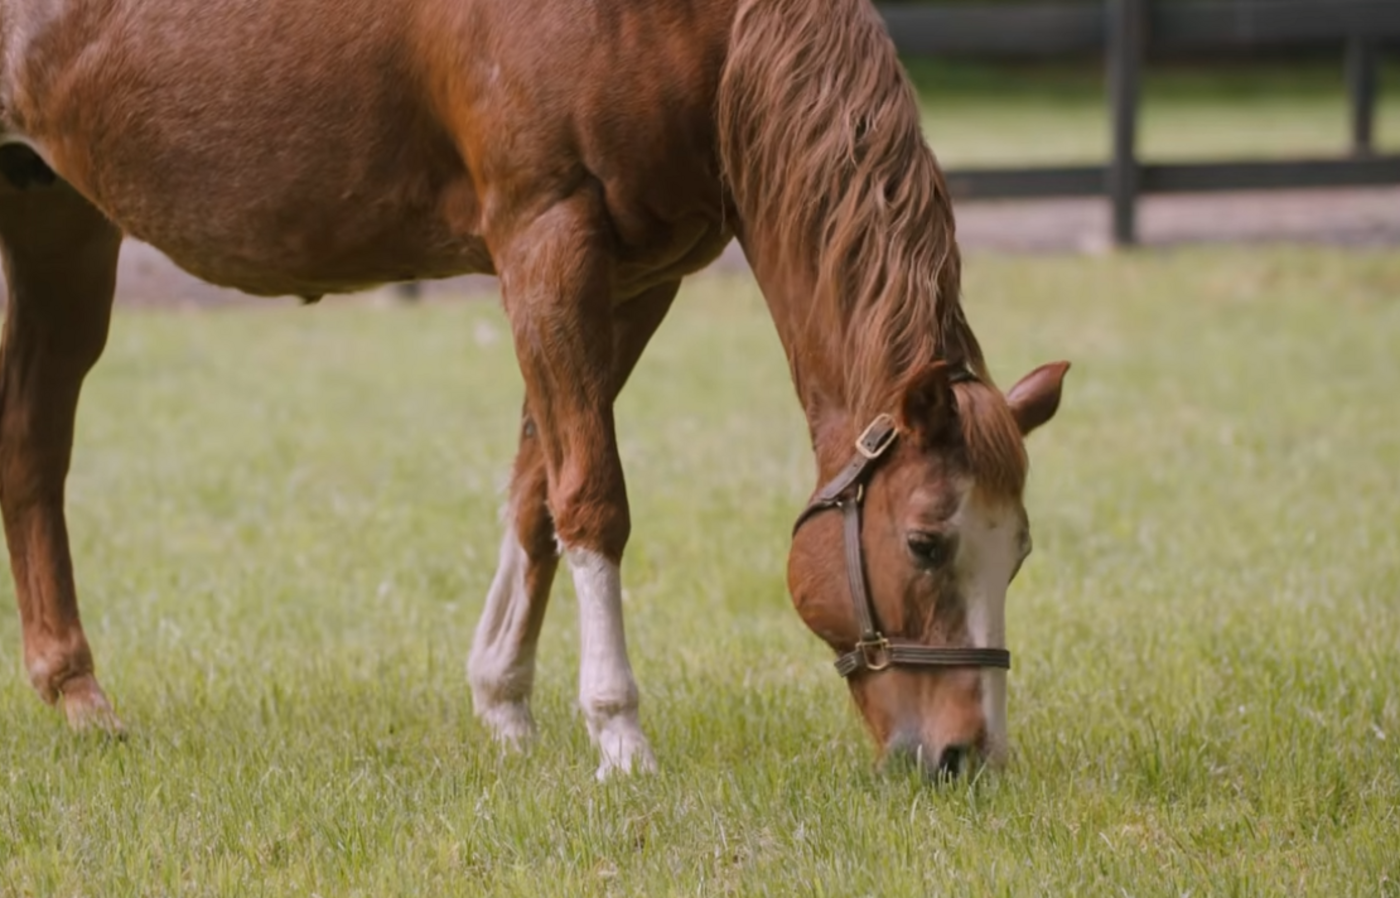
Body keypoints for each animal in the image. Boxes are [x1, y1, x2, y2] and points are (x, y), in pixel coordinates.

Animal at [0, 0, 1068, 779]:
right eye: (925, 542)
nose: (967, 757)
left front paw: (504, 704)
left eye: (1018, 553)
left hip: (61, 227)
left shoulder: (636, 281)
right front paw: (620, 737)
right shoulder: (546, 238)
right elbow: (592, 496)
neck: (698, 27)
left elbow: (535, 492)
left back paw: (76, 695)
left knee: (31, 444)